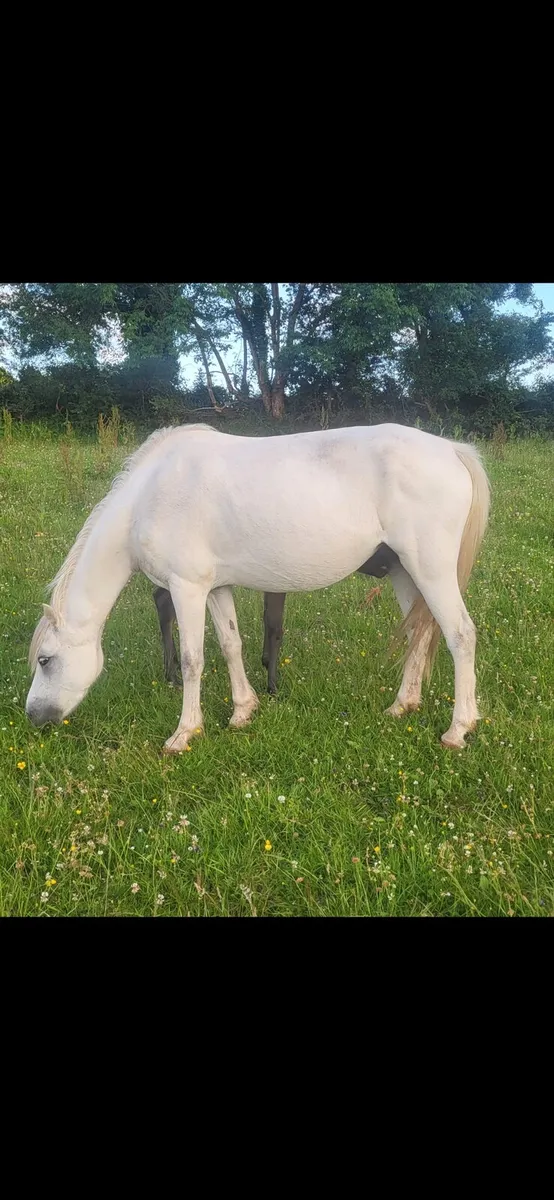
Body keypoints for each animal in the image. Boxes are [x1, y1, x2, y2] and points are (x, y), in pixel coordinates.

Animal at [153, 545, 398, 693]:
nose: (386, 567)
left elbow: (269, 621)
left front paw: (266, 664)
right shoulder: (278, 581)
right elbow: (275, 626)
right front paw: (272, 686)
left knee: (160, 597)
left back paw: (171, 667)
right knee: (163, 601)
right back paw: (171, 674)